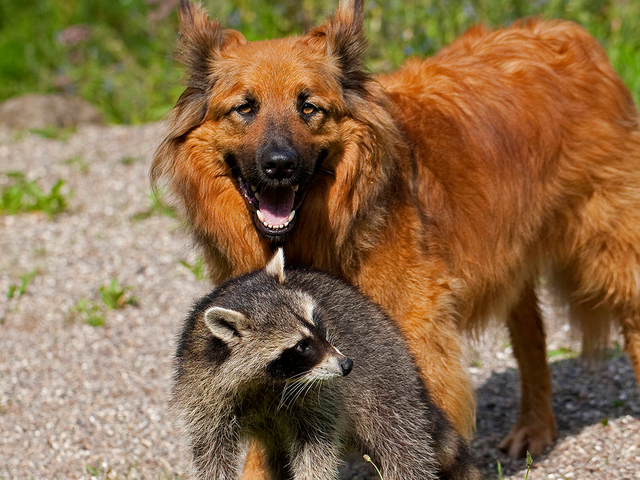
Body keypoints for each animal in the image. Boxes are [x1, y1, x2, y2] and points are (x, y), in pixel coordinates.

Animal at [170, 251, 480, 480]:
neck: (269, 383)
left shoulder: (320, 398)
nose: (347, 364)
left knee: (402, 444)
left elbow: (316, 448)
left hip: (385, 376)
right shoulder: (202, 391)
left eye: (317, 324)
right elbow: (210, 454)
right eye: (301, 346)